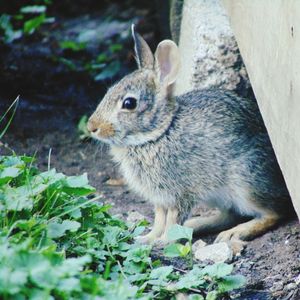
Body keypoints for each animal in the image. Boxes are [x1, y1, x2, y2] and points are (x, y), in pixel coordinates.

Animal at [87, 25, 292, 245]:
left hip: (247, 183)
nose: (92, 127)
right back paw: (198, 225)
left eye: (129, 103)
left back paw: (235, 233)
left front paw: (164, 241)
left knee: (274, 213)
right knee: (231, 215)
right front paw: (147, 238)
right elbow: (159, 219)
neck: (159, 133)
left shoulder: (180, 194)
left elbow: (171, 220)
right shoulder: (161, 199)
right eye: (109, 91)